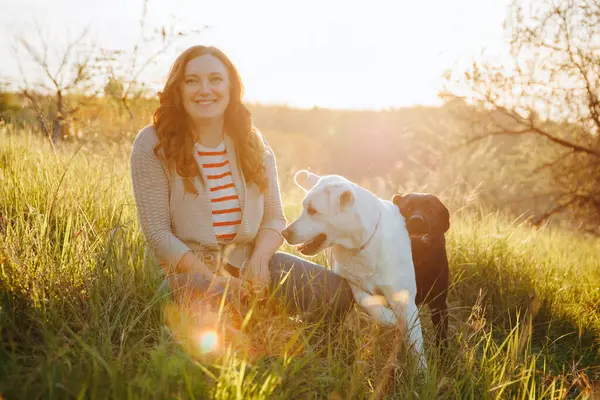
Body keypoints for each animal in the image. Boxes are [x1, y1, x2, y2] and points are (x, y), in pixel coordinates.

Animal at [282, 170, 426, 370]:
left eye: (312, 210)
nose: (284, 233)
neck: (360, 244)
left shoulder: (405, 300)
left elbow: (416, 343)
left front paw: (423, 373)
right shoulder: (347, 279)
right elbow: (363, 298)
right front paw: (386, 317)